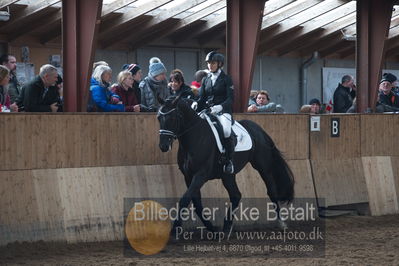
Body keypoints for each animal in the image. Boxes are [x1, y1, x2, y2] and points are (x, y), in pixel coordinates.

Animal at [158, 96, 296, 232]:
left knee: (271, 190)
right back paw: (227, 226)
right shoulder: (188, 176)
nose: (163, 146)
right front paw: (211, 228)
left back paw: (281, 223)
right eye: (159, 118)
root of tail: (259, 130)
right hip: (227, 175)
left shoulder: (201, 174)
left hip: (263, 167)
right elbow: (196, 203)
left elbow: (185, 199)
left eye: (172, 118)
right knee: (236, 195)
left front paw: (175, 228)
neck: (195, 137)